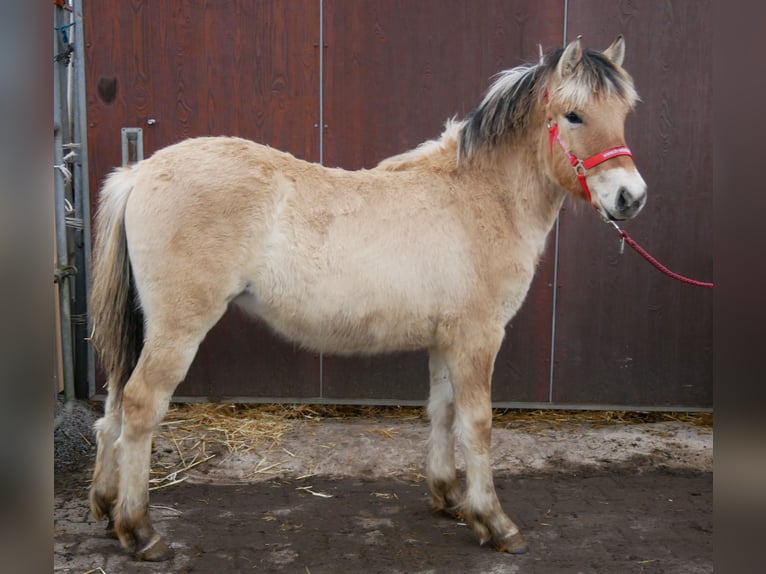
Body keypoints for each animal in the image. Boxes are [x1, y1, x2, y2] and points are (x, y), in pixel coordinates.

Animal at [87, 37, 644, 564]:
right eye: (574, 115)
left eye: (624, 113)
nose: (630, 197)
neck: (478, 197)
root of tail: (140, 173)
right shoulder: (478, 339)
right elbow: (478, 425)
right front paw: (494, 522)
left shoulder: (446, 341)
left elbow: (442, 412)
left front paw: (448, 497)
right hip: (178, 328)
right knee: (140, 406)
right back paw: (141, 531)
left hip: (144, 325)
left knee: (114, 407)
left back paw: (107, 508)